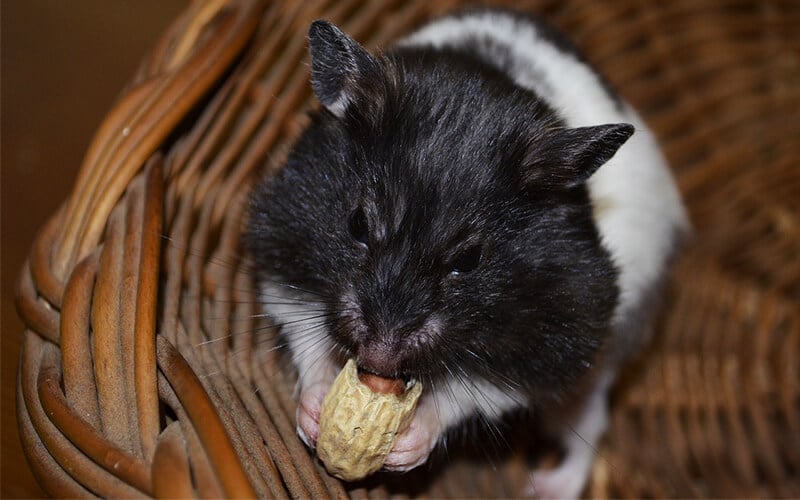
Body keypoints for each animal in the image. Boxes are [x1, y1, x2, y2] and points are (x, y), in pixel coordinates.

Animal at [242, 8, 688, 500]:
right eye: (356, 223)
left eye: (469, 260)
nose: (378, 360)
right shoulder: (283, 244)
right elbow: (306, 331)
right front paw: (314, 414)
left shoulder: (550, 339)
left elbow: (468, 390)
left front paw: (407, 447)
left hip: (594, 369)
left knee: (589, 425)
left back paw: (546, 487)